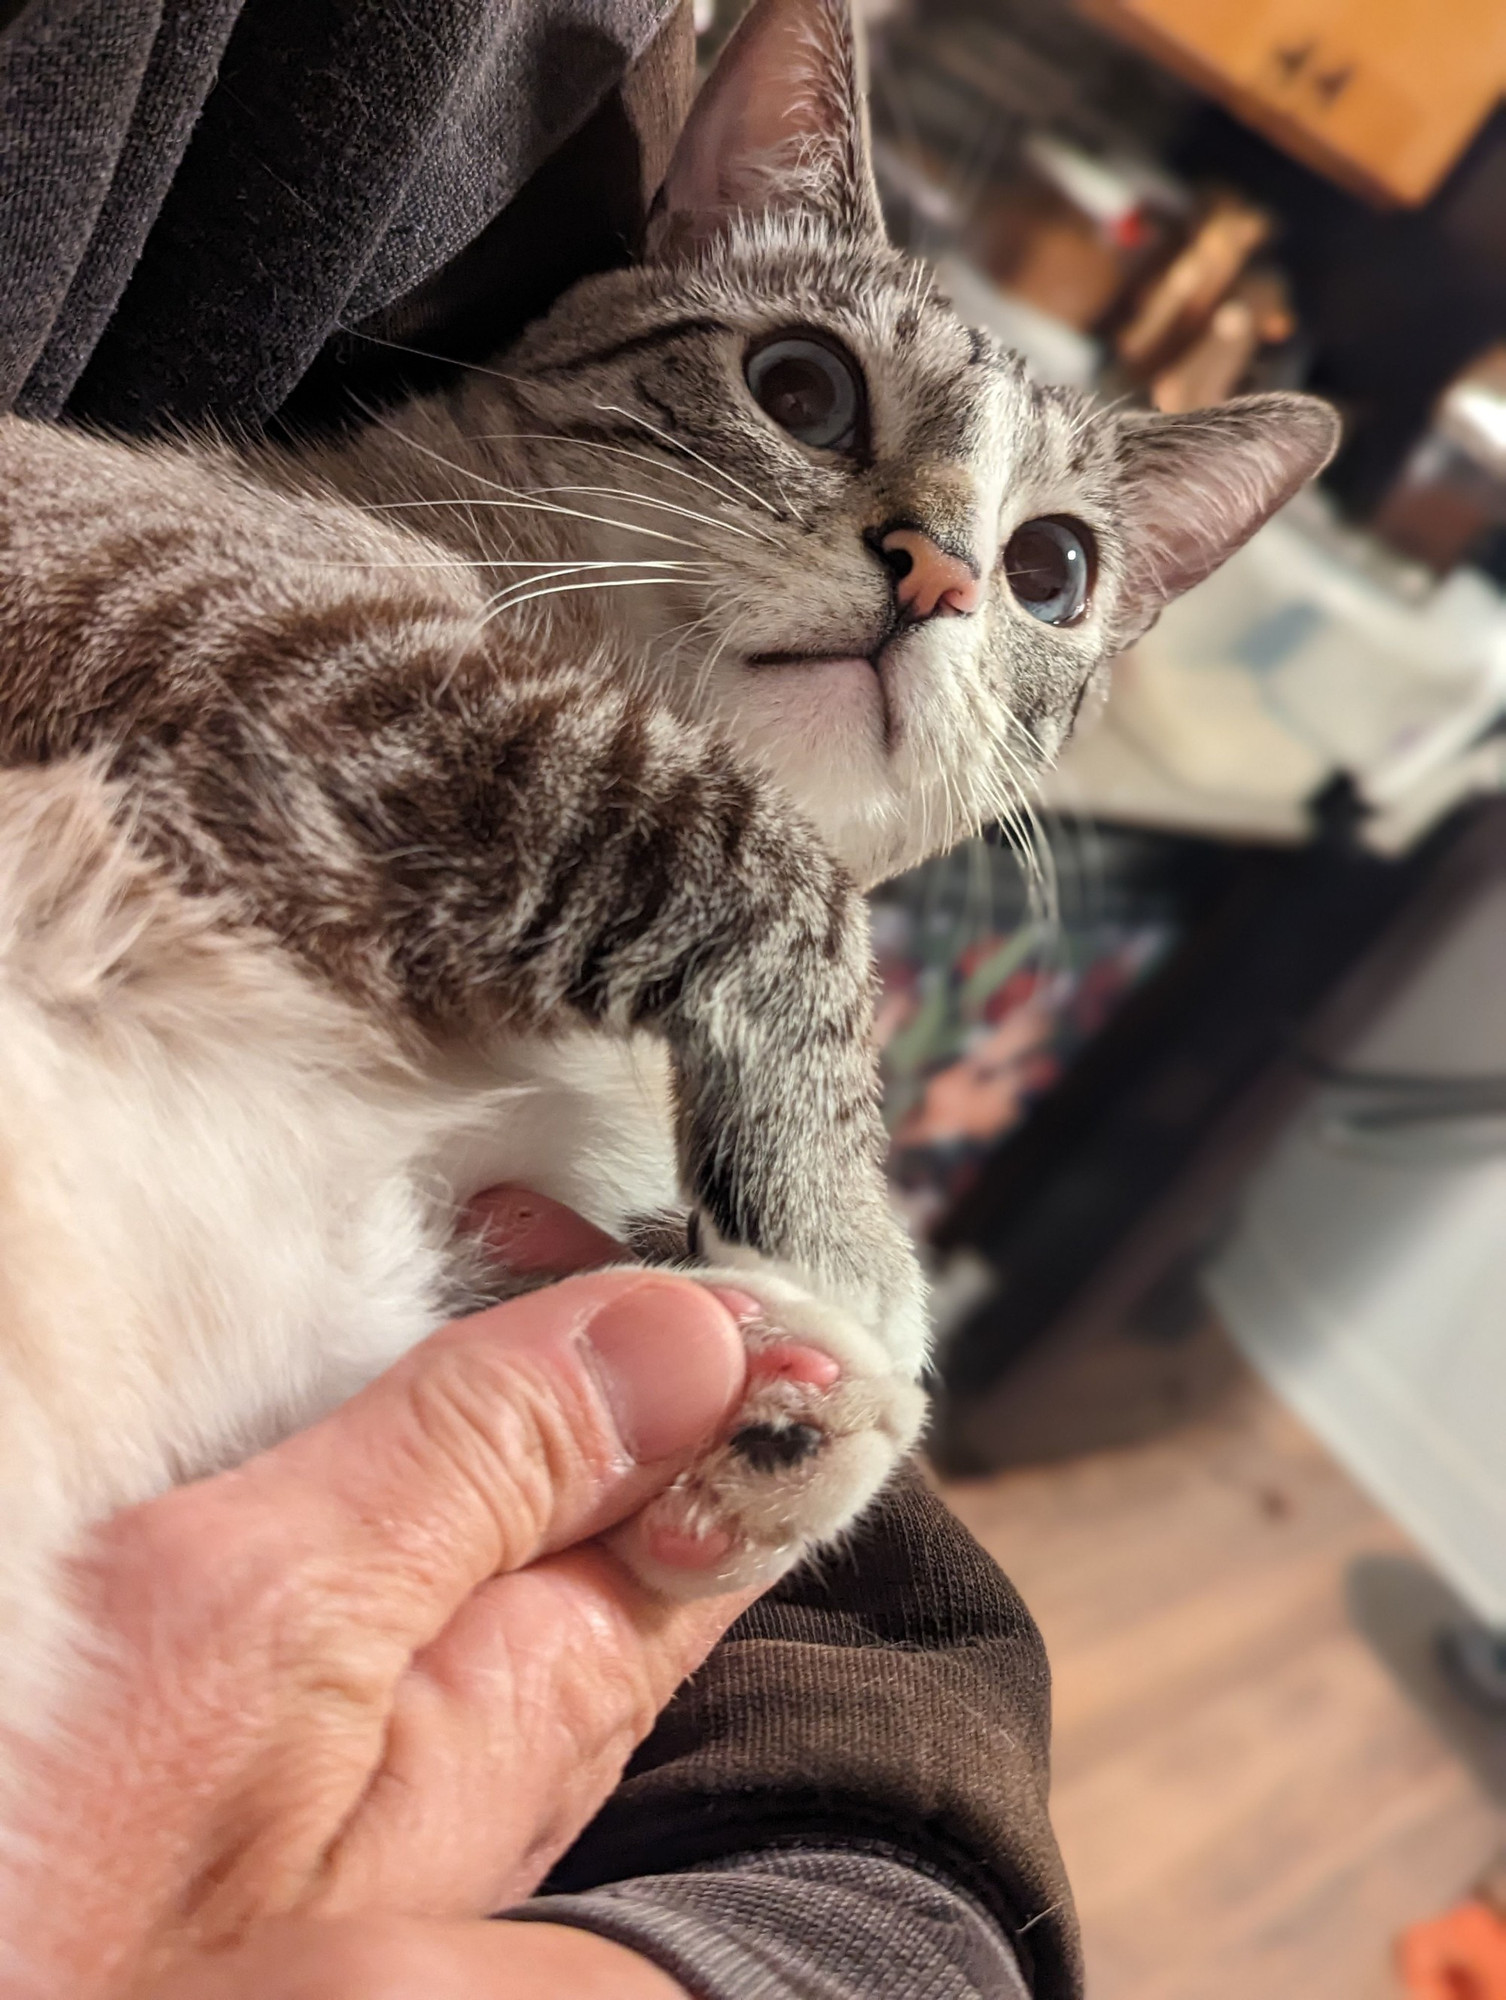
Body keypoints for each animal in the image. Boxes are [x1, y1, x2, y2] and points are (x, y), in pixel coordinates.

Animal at [0, 0, 1336, 1792]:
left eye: (1051, 570)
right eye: (800, 386)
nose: (940, 573)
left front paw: (780, 1416)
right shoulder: (263, 644)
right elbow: (764, 869)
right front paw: (853, 1266)